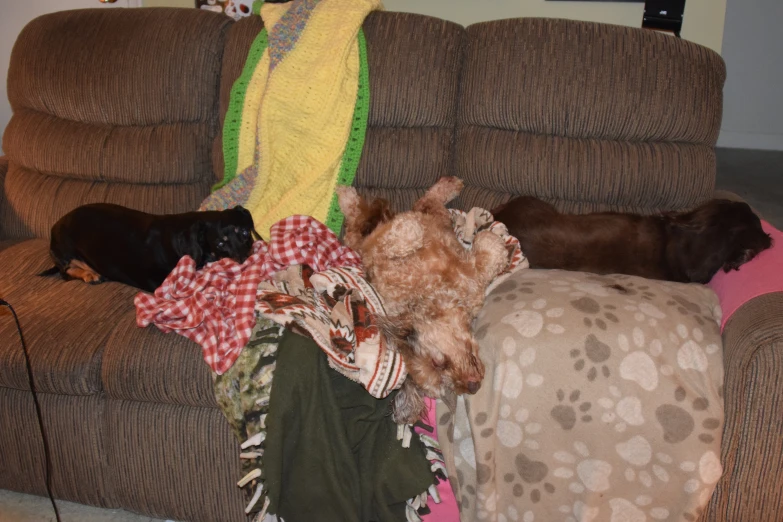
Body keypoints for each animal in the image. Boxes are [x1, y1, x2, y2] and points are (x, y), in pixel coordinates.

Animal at [336, 176, 508, 422]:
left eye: (439, 362)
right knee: (359, 225)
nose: (472, 386)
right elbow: (490, 250)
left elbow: (405, 233)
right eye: (444, 385)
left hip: (434, 219)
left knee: (418, 206)